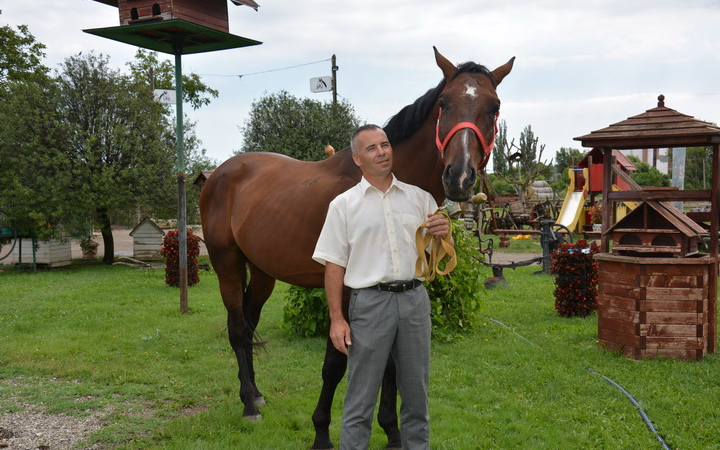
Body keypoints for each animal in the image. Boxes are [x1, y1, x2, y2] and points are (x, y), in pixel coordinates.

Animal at [198, 47, 512, 448]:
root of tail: (221, 173)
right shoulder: (346, 291)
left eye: (493, 106)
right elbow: (335, 364)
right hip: (227, 264)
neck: (383, 184)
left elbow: (391, 365)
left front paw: (392, 432)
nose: (459, 176)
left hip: (263, 271)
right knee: (238, 330)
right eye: (444, 102)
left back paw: (254, 393)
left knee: (249, 323)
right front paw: (321, 432)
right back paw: (249, 407)